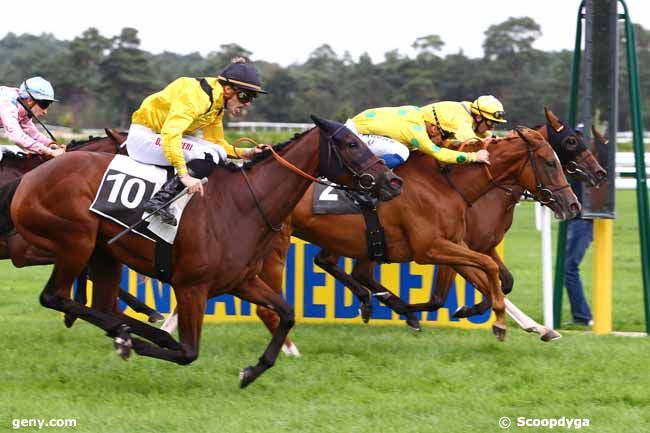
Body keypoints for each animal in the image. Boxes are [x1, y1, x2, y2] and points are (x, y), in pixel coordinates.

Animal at [5, 116, 400, 386]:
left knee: (102, 306)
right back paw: (132, 335)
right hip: (76, 241)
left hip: (103, 253)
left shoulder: (241, 281)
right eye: (351, 144)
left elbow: (286, 313)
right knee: (55, 297)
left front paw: (252, 370)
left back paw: (127, 332)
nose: (393, 181)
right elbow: (188, 351)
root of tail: (27, 179)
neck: (242, 206)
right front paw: (148, 343)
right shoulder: (191, 287)